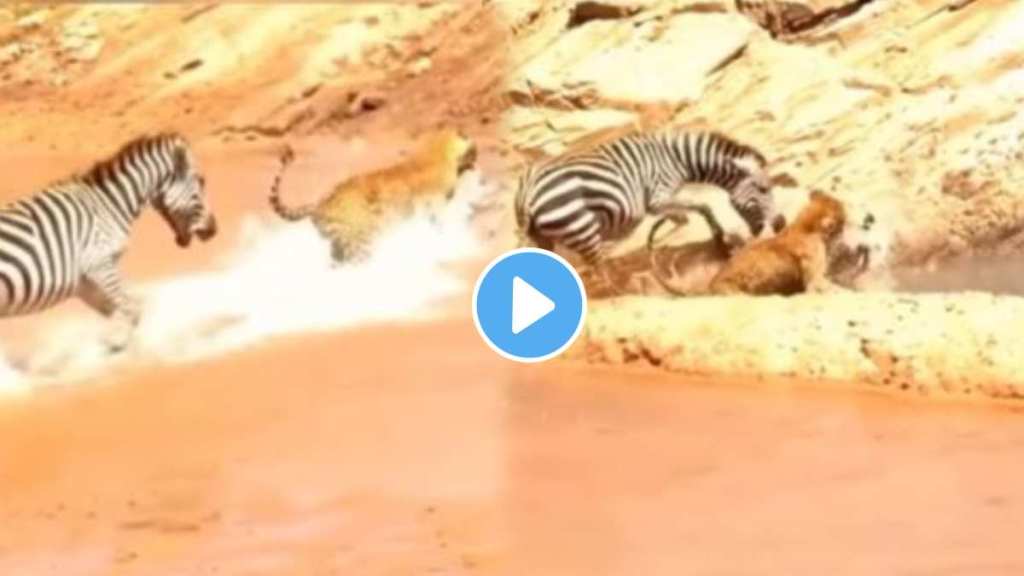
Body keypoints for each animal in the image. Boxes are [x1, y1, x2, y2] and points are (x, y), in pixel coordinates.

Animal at [0, 133, 216, 350]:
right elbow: (131, 310)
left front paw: (118, 345)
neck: (107, 205)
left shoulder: (84, 282)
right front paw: (123, 347)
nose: (214, 230)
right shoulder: (99, 264)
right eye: (201, 182)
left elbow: (121, 310)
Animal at [516, 128, 786, 289]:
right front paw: (721, 243)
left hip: (544, 237)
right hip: (581, 227)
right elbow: (703, 206)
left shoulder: (658, 205)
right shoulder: (658, 197)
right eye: (764, 189)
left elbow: (685, 216)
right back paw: (621, 293)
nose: (782, 223)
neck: (679, 159)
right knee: (599, 268)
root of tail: (528, 192)